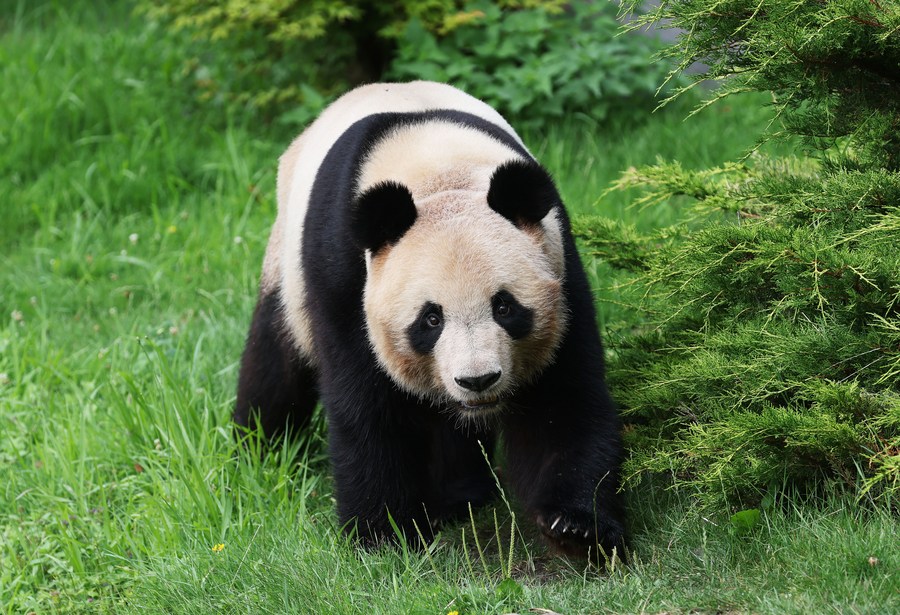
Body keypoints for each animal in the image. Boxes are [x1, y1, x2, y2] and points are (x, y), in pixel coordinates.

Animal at [235, 81, 625, 560]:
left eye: (505, 307)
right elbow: (368, 408)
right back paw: (257, 450)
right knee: (275, 361)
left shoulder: (558, 264)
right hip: (286, 267)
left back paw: (461, 497)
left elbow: (561, 399)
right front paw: (383, 536)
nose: (478, 380)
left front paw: (576, 528)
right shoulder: (343, 275)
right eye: (430, 319)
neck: (438, 172)